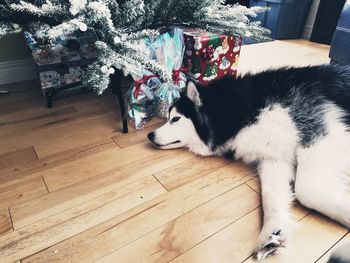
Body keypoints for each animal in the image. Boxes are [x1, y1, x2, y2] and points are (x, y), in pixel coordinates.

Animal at [148, 64, 350, 262]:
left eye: (175, 119)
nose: (150, 135)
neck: (237, 112)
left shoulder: (316, 127)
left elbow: (307, 190)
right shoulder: (274, 157)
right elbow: (271, 195)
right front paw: (272, 231)